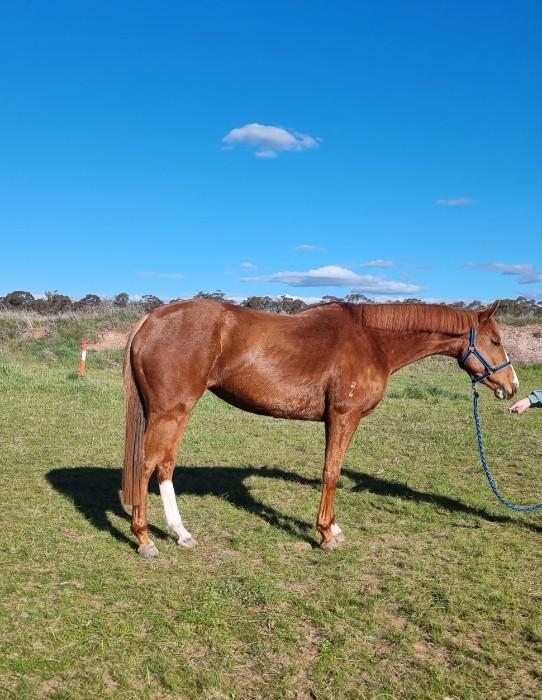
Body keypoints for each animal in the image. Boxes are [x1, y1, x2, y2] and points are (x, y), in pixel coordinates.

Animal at [122, 299, 518, 556]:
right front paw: (327, 534)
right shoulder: (343, 417)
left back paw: (179, 533)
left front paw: (334, 529)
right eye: (495, 341)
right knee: (148, 465)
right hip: (172, 411)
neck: (372, 340)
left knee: (164, 466)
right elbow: (331, 472)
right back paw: (145, 539)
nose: (511, 386)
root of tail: (150, 319)